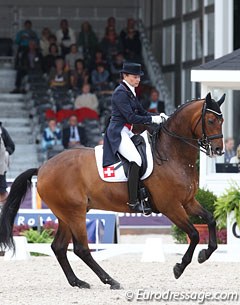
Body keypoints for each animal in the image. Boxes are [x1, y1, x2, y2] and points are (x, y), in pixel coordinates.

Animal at [0, 91, 225, 288]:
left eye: (222, 121)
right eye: (210, 121)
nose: (219, 150)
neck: (171, 154)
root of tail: (43, 167)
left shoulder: (188, 202)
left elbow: (210, 220)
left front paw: (205, 254)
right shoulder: (171, 206)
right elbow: (194, 234)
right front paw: (180, 267)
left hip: (66, 214)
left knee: (59, 247)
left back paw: (78, 282)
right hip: (74, 213)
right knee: (82, 249)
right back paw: (110, 281)